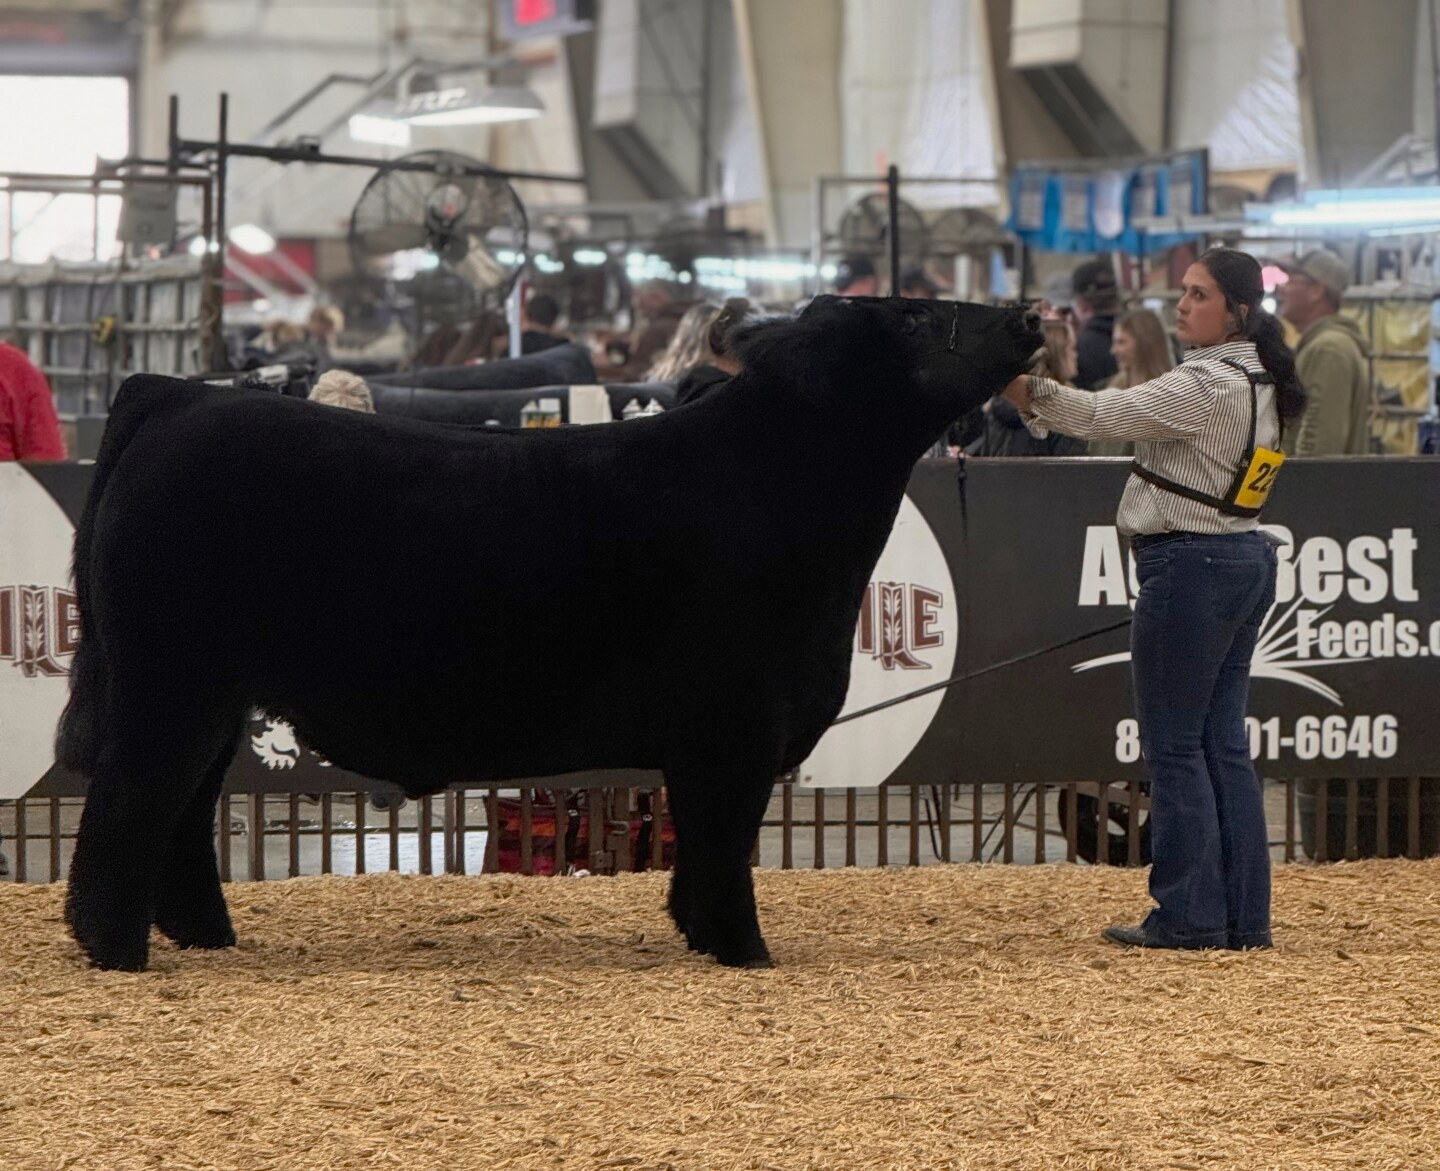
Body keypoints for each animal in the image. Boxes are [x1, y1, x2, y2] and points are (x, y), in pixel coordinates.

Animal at [58, 294, 1042, 972]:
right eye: (917, 317)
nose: (1030, 313)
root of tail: (174, 397)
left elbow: (702, 851)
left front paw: (698, 936)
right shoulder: (734, 724)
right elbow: (725, 843)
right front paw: (743, 951)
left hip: (210, 695)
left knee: (181, 813)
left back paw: (205, 935)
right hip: (169, 684)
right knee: (131, 805)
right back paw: (115, 951)